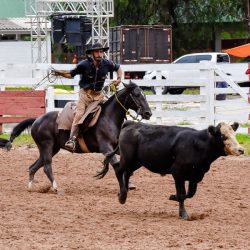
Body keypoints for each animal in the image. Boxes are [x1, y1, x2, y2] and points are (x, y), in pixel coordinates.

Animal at [0, 82, 151, 189]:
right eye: (137, 95)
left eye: (144, 94)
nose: (148, 113)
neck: (108, 117)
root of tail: (37, 119)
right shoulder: (106, 148)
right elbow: (115, 164)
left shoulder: (115, 148)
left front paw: (129, 183)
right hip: (46, 146)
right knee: (47, 167)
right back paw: (55, 187)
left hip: (51, 149)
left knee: (33, 167)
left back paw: (31, 187)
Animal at [97, 120, 244, 218]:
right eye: (223, 136)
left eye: (234, 135)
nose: (241, 150)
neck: (198, 144)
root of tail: (130, 123)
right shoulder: (177, 172)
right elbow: (182, 194)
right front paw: (183, 213)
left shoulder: (195, 176)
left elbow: (189, 194)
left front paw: (173, 197)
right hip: (128, 159)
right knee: (118, 169)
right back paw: (122, 196)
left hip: (136, 162)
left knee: (127, 173)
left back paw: (124, 192)